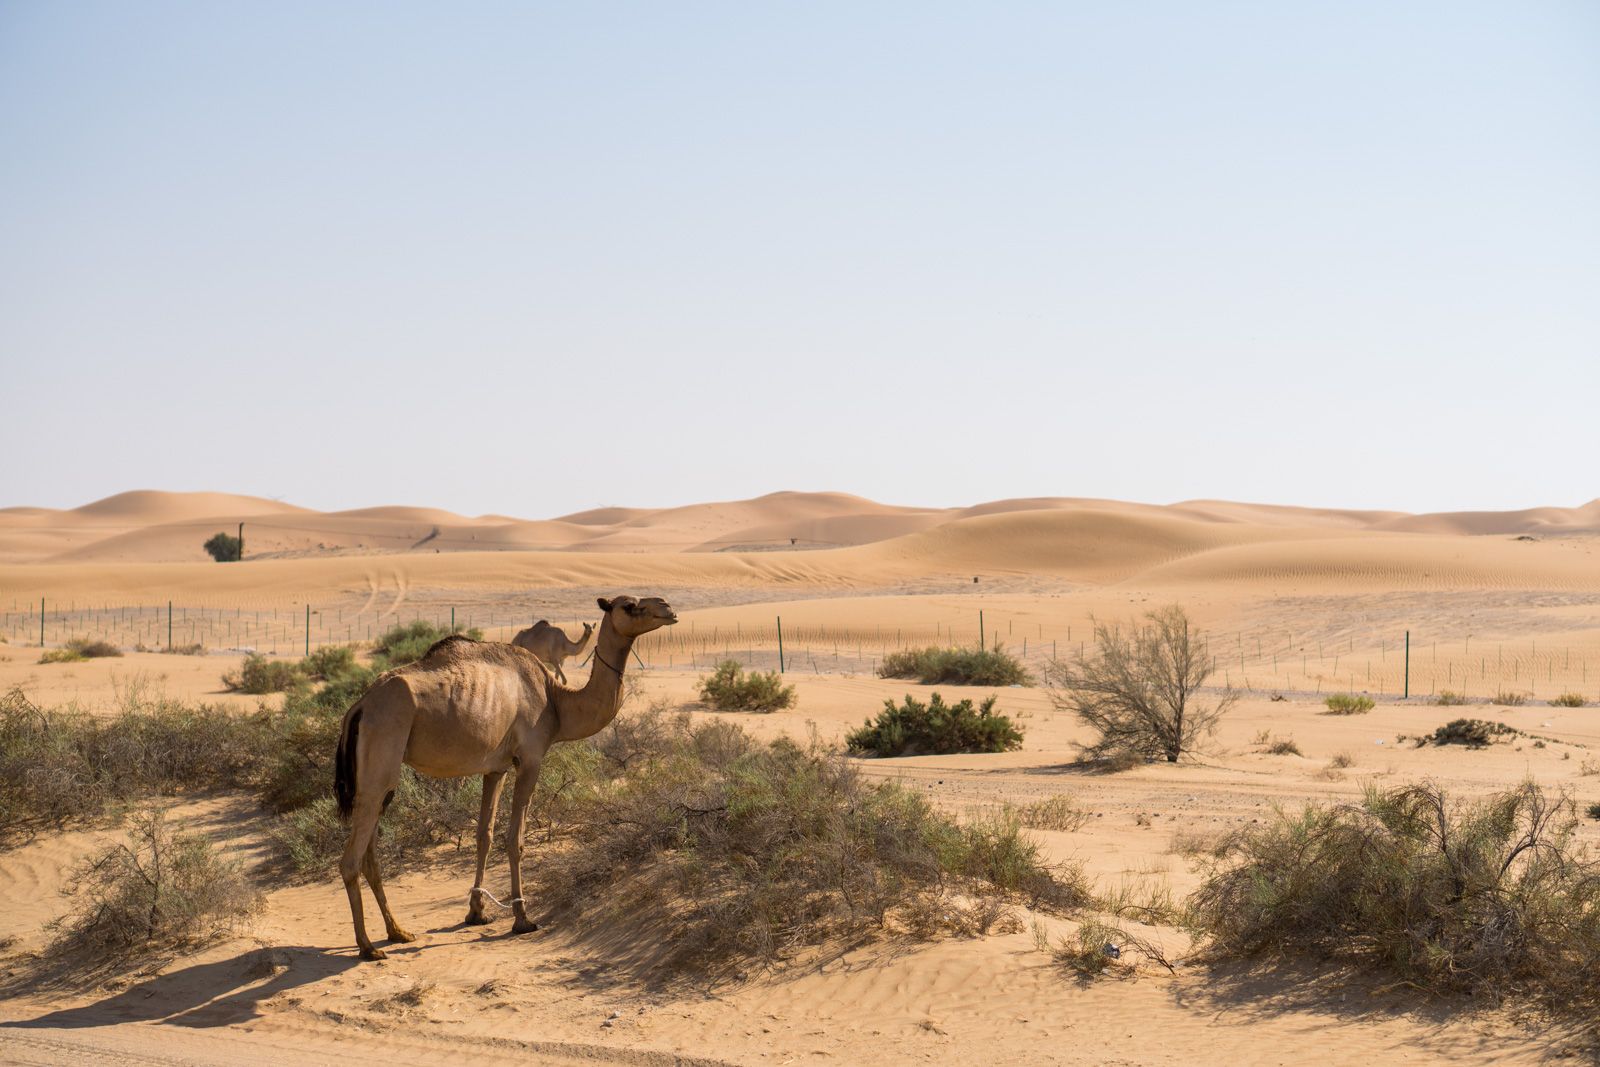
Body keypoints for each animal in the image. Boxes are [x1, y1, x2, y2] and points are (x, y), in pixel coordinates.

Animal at [334, 591, 672, 959]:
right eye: (629, 606)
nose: (668, 608)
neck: (557, 702)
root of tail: (360, 706)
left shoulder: (496, 768)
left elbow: (484, 835)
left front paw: (476, 912)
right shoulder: (531, 758)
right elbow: (514, 838)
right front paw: (523, 918)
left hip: (380, 779)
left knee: (370, 852)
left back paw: (398, 932)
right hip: (383, 750)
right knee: (350, 859)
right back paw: (368, 946)